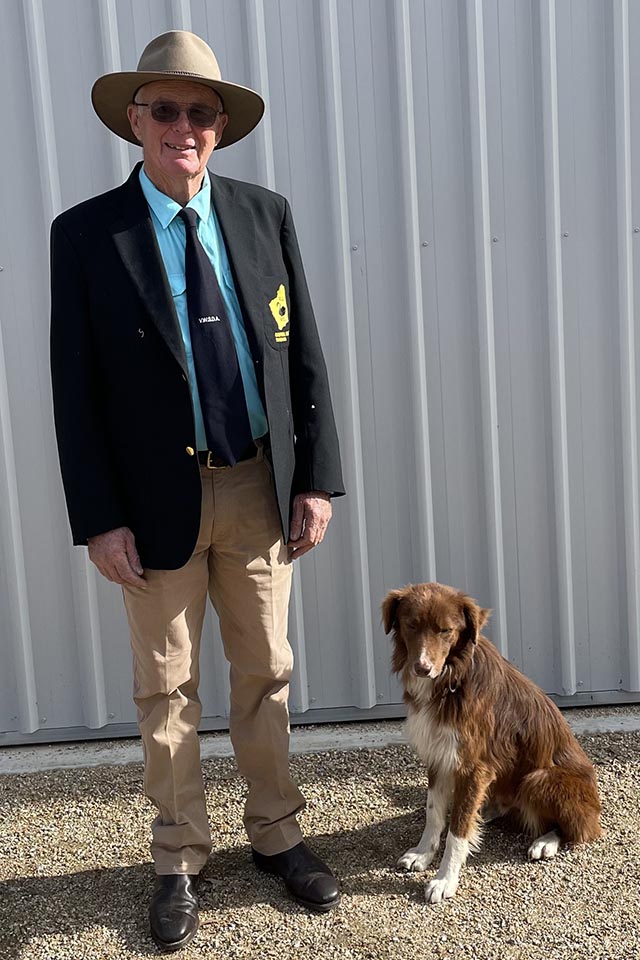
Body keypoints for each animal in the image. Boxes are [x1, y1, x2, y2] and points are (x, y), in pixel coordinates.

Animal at [382, 580, 604, 904]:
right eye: (411, 625)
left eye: (446, 630)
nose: (422, 668)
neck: (452, 679)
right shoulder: (439, 755)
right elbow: (434, 813)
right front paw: (423, 854)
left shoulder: (473, 766)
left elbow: (458, 833)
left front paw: (445, 879)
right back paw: (485, 811)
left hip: (538, 778)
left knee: (580, 829)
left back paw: (546, 842)